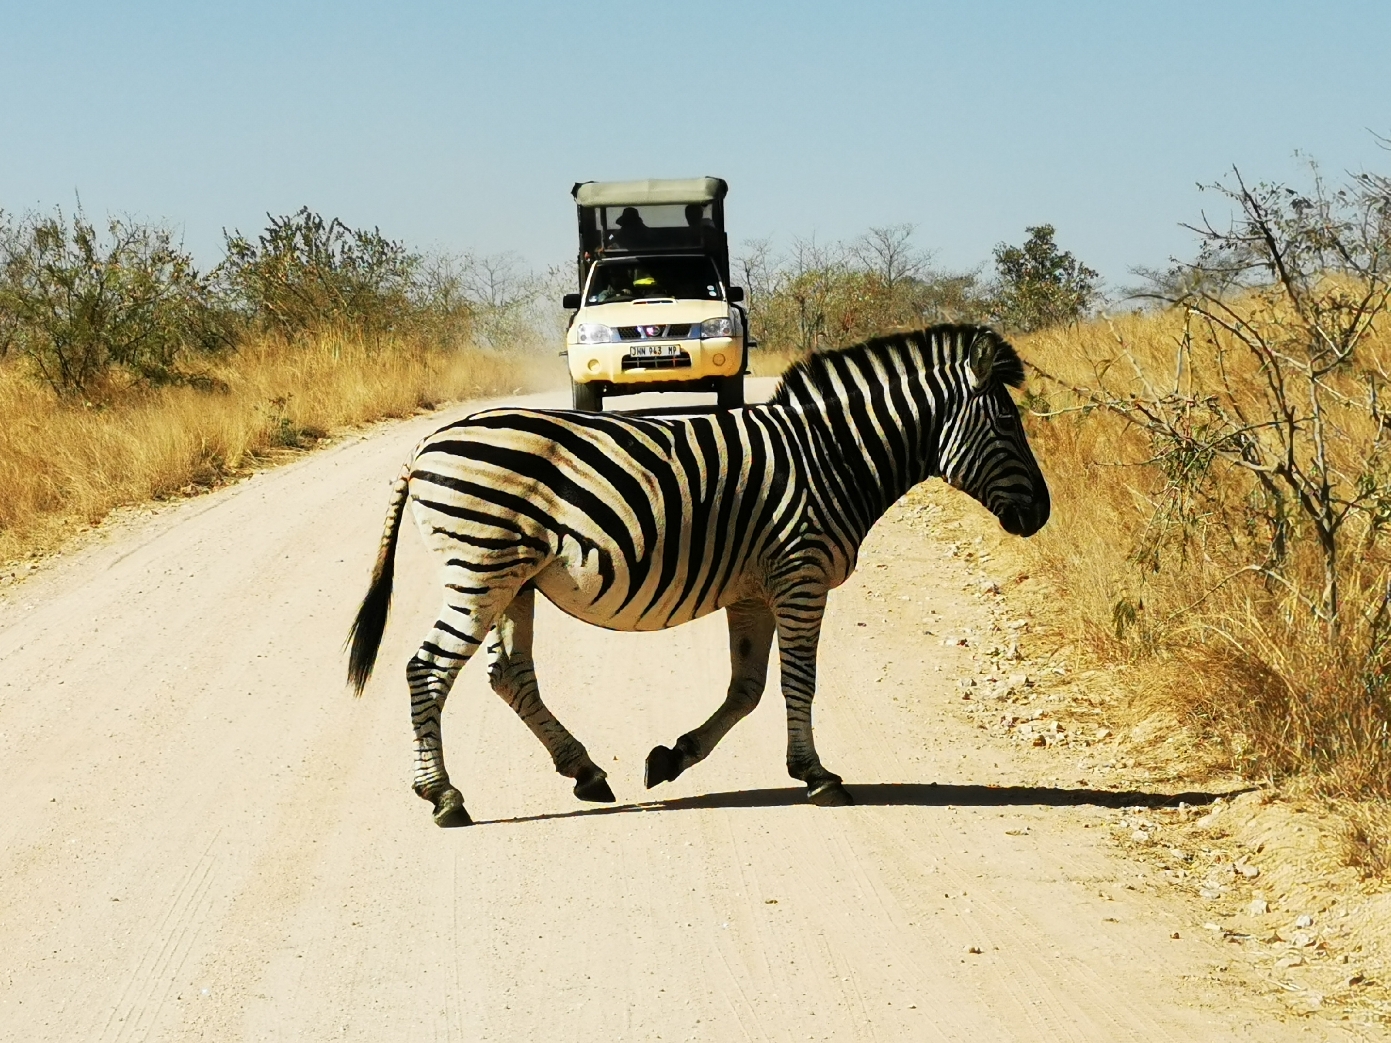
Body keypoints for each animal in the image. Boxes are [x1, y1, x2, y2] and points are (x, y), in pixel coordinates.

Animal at [344, 322, 1046, 828]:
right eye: (1009, 422)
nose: (1041, 515)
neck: (830, 458)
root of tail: (428, 442)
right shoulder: (801, 575)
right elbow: (798, 682)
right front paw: (818, 775)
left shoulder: (755, 591)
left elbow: (748, 688)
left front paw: (671, 759)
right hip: (482, 566)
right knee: (427, 668)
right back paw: (444, 797)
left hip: (513, 579)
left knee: (508, 676)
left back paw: (586, 771)